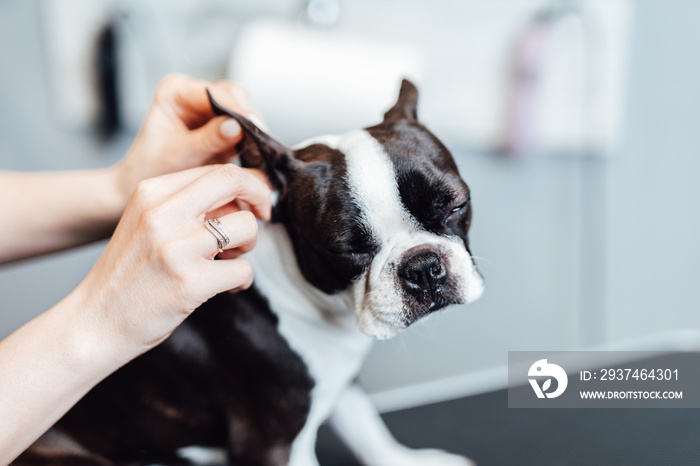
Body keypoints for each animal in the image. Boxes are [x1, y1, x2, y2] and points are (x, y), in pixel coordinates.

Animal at [19, 80, 484, 466]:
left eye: (456, 205)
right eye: (349, 249)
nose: (423, 267)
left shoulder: (342, 382)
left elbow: (365, 426)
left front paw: (405, 460)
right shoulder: (272, 443)